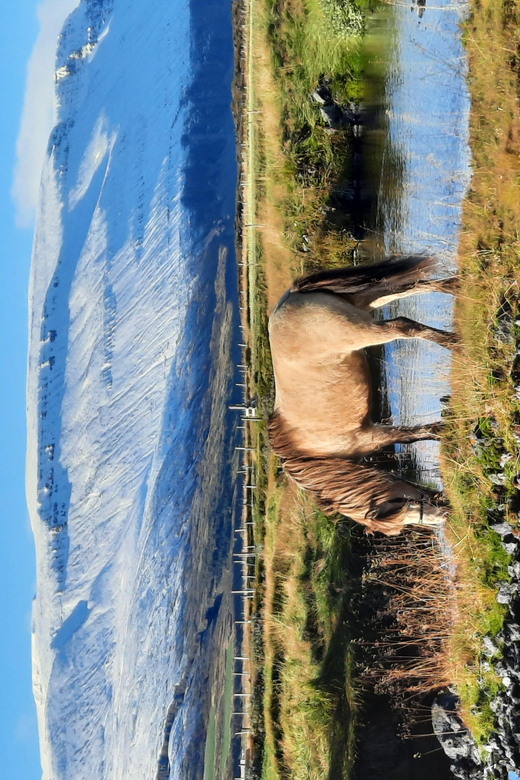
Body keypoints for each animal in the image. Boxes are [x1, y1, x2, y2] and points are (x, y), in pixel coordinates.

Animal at [268, 256, 456, 536]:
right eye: (400, 509)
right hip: (366, 300)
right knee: (411, 287)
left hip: (364, 329)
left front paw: (443, 430)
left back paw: (454, 342)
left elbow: (411, 434)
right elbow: (414, 434)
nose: (445, 514)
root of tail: (289, 300)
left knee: (404, 325)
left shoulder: (370, 435)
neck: (312, 452)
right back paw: (455, 287)